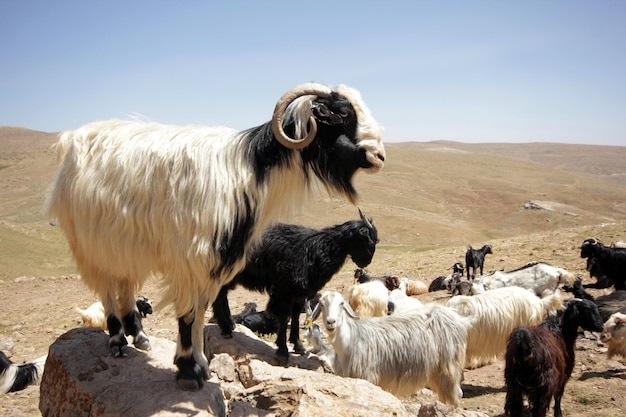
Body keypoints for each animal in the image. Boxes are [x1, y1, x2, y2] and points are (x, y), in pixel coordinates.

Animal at [211, 210, 376, 360]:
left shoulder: (300, 293)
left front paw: (298, 345)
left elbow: (295, 316)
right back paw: (226, 328)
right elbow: (285, 317)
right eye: (368, 240)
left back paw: (230, 325)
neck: (318, 249)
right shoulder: (285, 290)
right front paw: (283, 351)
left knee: (221, 295)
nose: (366, 261)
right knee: (219, 296)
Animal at [312, 290, 468, 404]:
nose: (331, 322)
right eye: (321, 303)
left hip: (448, 367)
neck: (350, 341)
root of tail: (457, 318)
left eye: (341, 303)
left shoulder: (368, 377)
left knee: (456, 394)